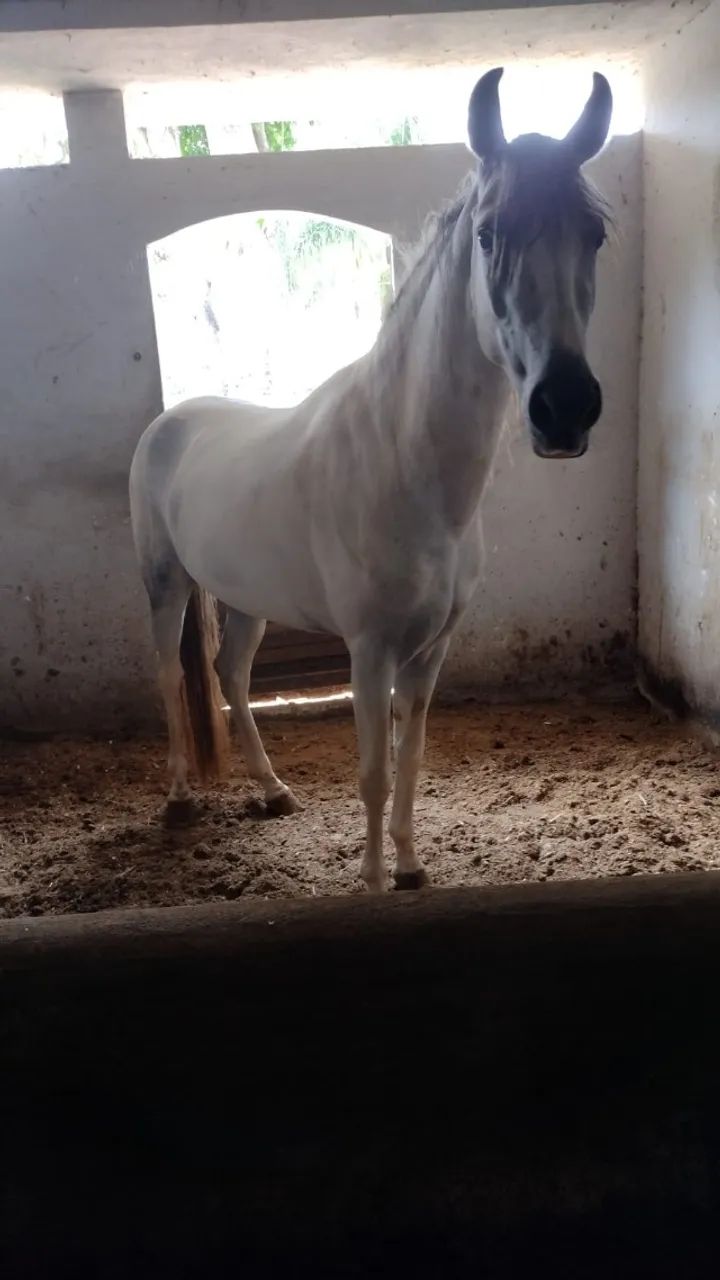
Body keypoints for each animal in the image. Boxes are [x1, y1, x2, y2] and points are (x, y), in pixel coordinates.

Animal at [130, 67, 613, 893]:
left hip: (244, 597)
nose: (565, 408)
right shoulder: (370, 649)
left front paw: (412, 867)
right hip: (166, 584)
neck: (411, 473)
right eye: (489, 234)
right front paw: (373, 881)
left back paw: (272, 790)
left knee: (230, 677)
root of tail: (172, 421)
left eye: (595, 233)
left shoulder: (429, 651)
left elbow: (410, 758)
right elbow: (374, 773)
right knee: (168, 675)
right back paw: (179, 799)